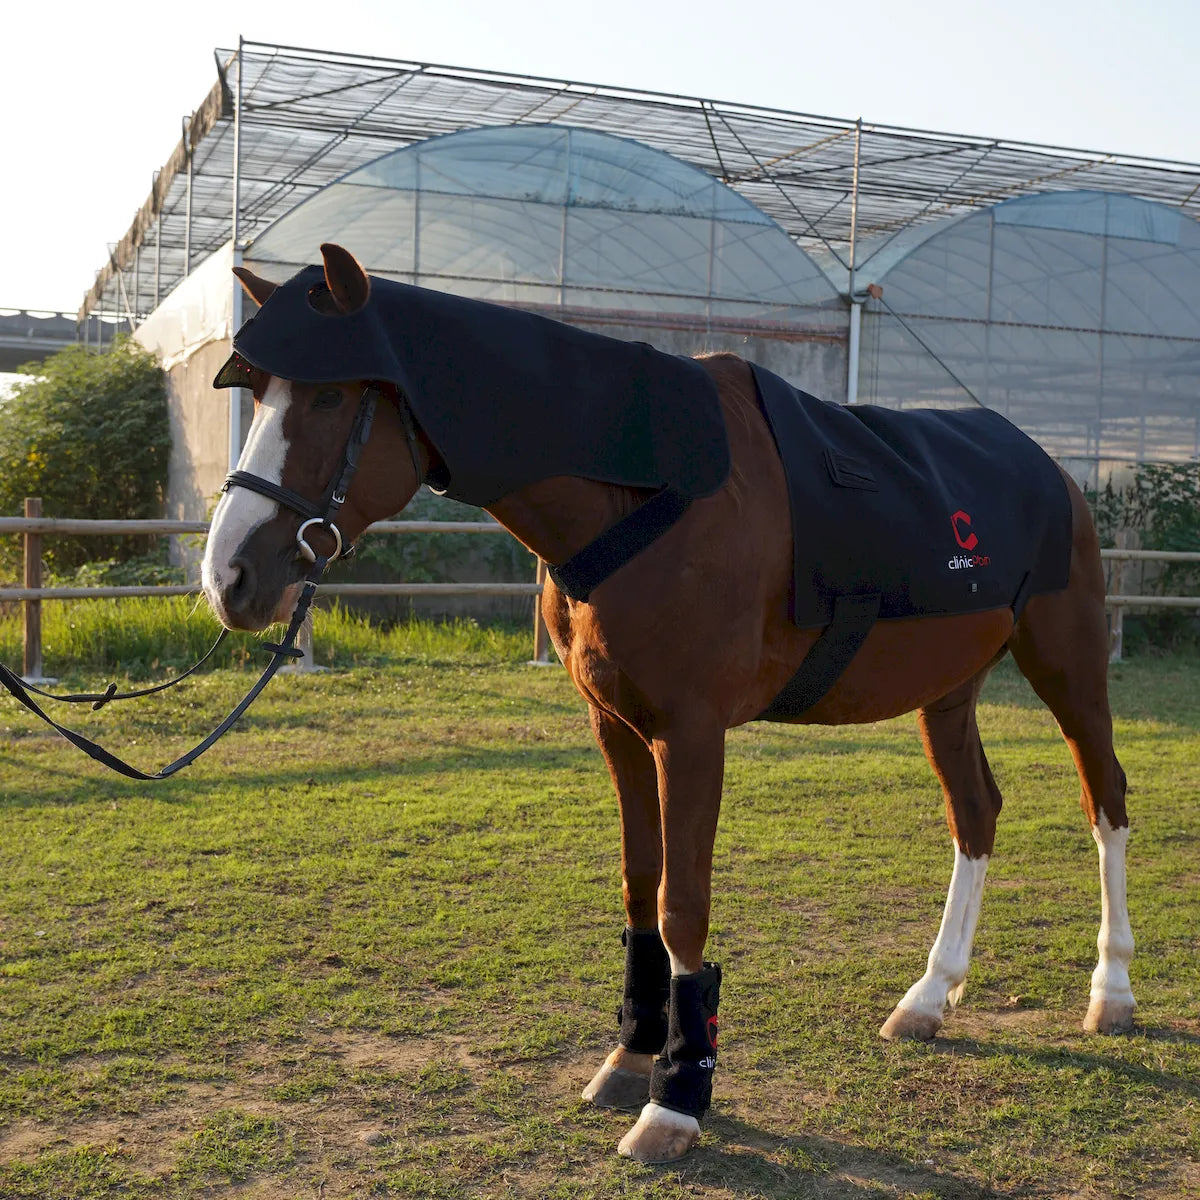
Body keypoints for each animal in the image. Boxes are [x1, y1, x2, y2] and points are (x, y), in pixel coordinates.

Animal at [201, 243, 1133, 1164]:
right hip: (948, 693)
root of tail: (1053, 471)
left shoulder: (691, 734)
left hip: (1070, 666)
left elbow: (682, 907)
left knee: (1107, 799)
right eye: (260, 391)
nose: (228, 576)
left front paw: (677, 1099)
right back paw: (931, 996)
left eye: (330, 396)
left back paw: (1112, 989)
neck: (639, 497)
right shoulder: (616, 729)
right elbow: (638, 886)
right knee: (975, 814)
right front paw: (630, 1058)